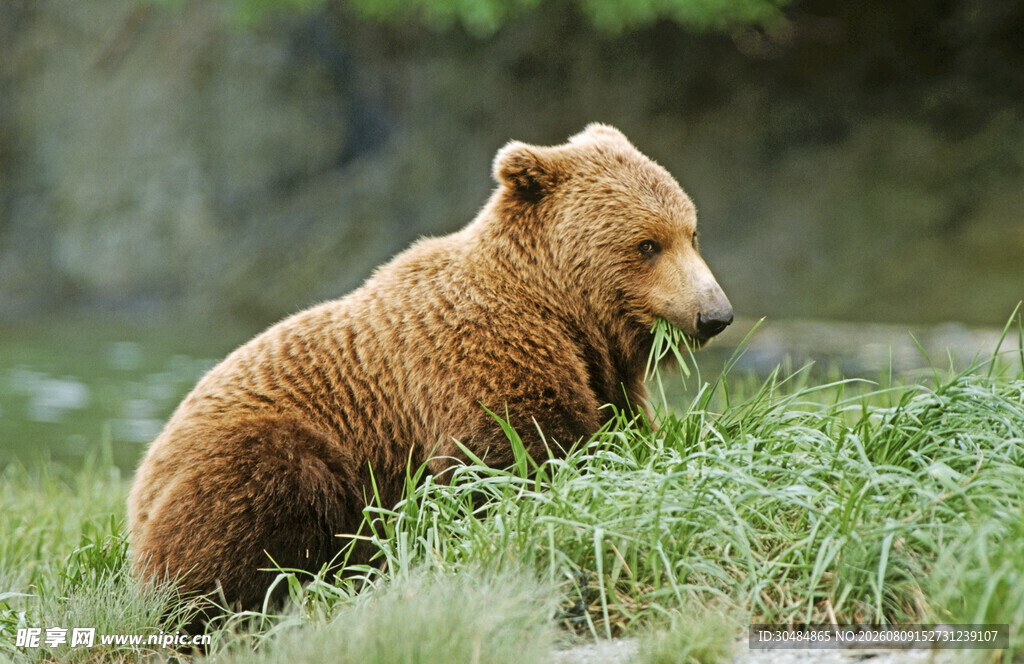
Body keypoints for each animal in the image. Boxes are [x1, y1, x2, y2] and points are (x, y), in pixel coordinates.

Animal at [127, 123, 733, 614]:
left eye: (691, 232)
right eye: (647, 244)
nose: (716, 314)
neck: (558, 309)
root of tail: (138, 485)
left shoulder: (603, 374)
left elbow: (626, 432)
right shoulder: (477, 358)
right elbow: (510, 455)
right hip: (245, 456)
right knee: (262, 494)